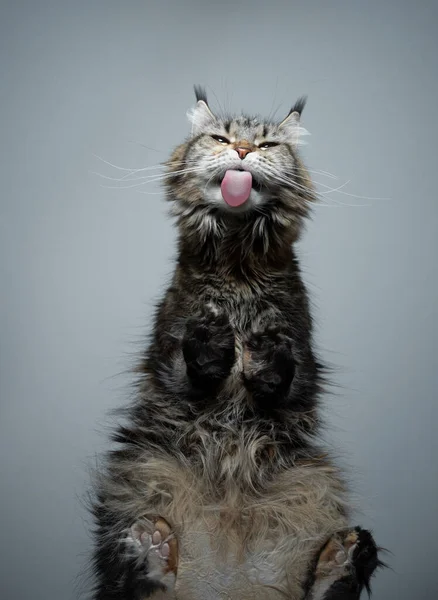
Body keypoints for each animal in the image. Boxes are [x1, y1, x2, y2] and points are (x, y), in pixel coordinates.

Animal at [90, 85, 384, 600]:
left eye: (267, 145)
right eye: (221, 138)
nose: (243, 151)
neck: (237, 263)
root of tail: (227, 584)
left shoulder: (302, 357)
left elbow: (284, 373)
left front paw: (261, 352)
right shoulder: (169, 344)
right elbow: (192, 362)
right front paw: (215, 341)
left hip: (315, 480)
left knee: (321, 588)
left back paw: (343, 560)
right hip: (138, 475)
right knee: (134, 583)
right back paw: (151, 552)